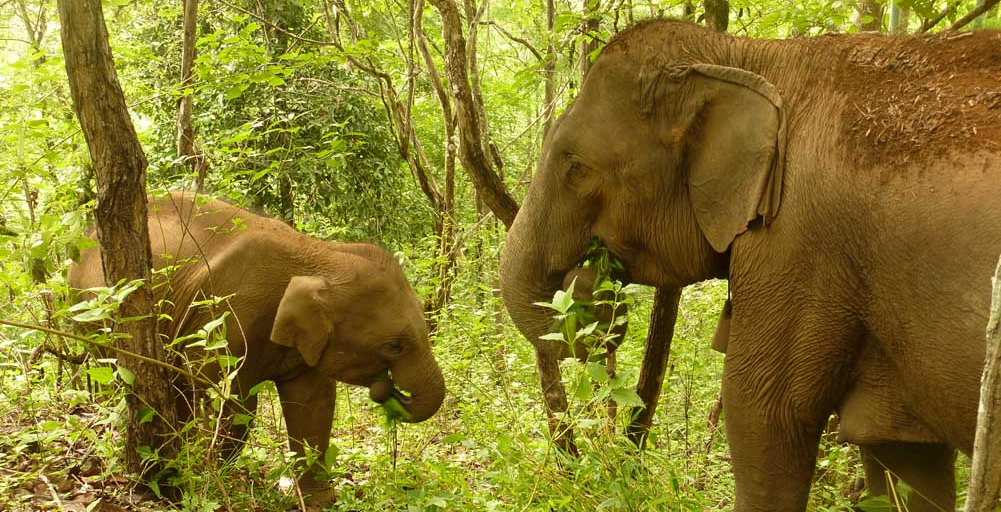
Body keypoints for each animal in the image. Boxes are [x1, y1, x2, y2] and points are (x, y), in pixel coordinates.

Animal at [68, 191, 444, 504]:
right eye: (394, 346)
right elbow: (233, 401)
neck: (317, 253)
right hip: (94, 311)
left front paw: (320, 502)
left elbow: (313, 406)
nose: (386, 391)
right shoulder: (224, 316)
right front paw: (214, 482)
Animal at [504, 20, 1001, 512]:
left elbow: (762, 411)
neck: (749, 57)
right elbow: (901, 459)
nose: (589, 280)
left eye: (575, 167)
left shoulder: (798, 243)